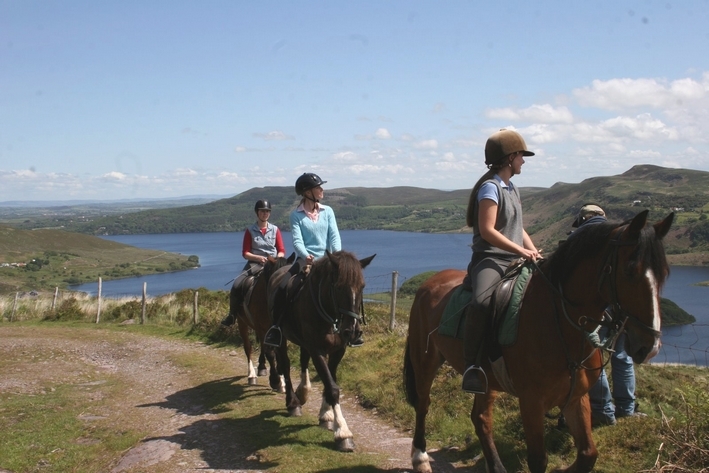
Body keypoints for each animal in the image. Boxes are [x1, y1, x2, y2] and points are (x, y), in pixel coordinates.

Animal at [230, 256, 290, 390]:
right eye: (277, 278)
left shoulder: (278, 331)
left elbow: (278, 354)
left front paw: (281, 379)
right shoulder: (262, 328)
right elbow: (270, 353)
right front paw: (275, 381)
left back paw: (262, 367)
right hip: (242, 323)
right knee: (248, 347)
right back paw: (252, 375)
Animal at [266, 249, 376, 452]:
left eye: (362, 286)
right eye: (339, 287)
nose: (352, 331)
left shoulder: (338, 350)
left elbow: (329, 381)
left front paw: (326, 415)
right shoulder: (317, 350)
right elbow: (332, 388)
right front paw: (343, 433)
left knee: (303, 361)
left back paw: (303, 392)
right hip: (281, 336)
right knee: (285, 365)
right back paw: (293, 403)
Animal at [402, 209, 672, 472]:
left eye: (664, 274)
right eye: (630, 270)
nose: (650, 347)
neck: (560, 324)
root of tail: (430, 282)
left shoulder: (576, 398)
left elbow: (588, 455)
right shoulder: (531, 401)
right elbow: (538, 460)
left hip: (485, 380)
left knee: (480, 418)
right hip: (425, 362)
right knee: (424, 404)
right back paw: (420, 458)